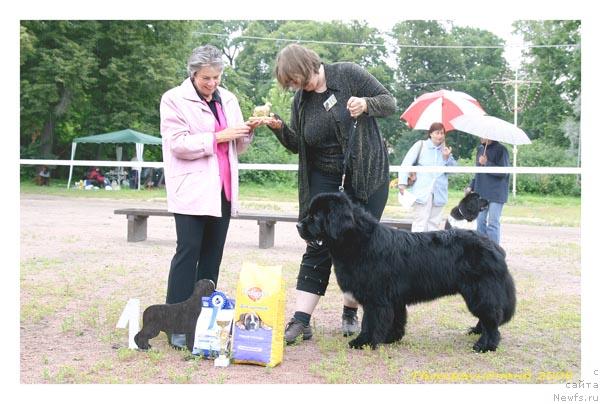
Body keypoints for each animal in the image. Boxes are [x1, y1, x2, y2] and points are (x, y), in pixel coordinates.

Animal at [296, 191, 516, 352]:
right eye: (309, 213)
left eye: (315, 216)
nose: (298, 225)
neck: (359, 241)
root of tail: (495, 247)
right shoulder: (394, 298)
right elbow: (396, 319)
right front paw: (391, 338)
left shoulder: (376, 297)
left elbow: (371, 321)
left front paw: (364, 342)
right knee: (489, 316)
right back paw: (477, 333)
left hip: (480, 291)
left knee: (491, 319)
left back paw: (485, 345)